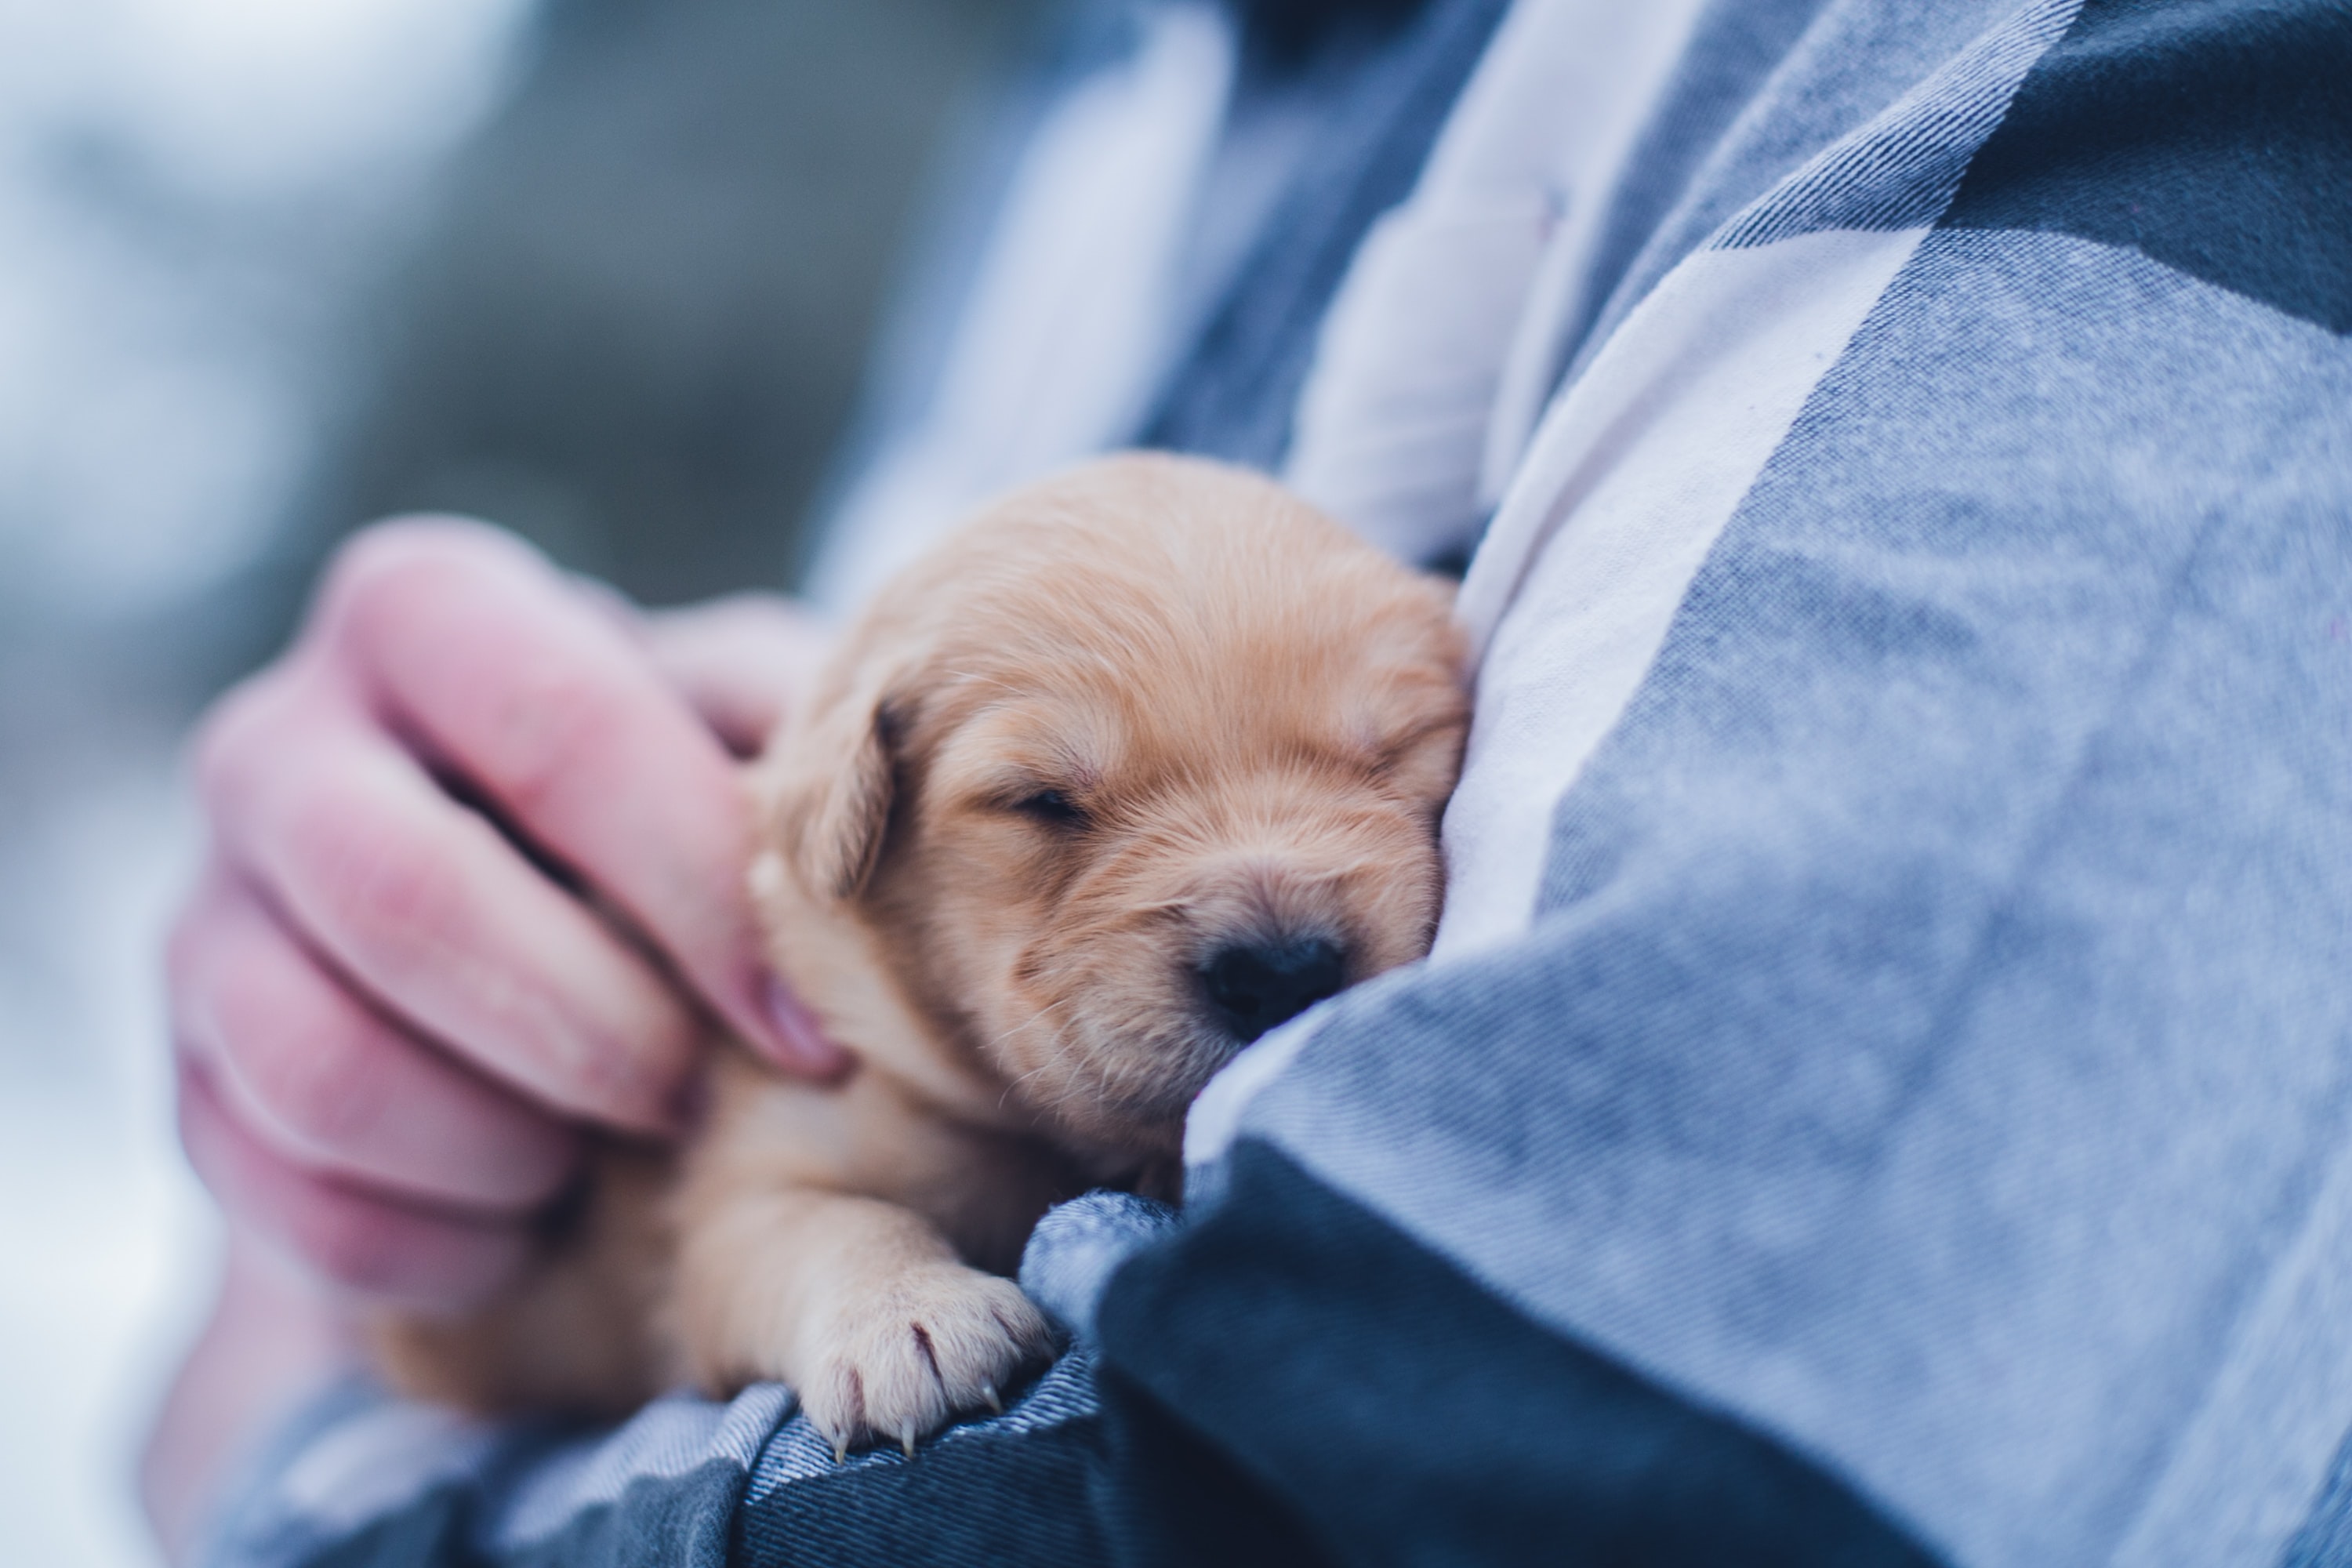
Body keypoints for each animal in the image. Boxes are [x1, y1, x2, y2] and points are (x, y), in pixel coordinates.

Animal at [374, 453, 1458, 1457]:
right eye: (1041, 800)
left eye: (1395, 748)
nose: (1280, 971)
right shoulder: (739, 1184)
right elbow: (823, 1221)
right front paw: (908, 1315)